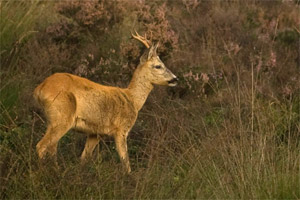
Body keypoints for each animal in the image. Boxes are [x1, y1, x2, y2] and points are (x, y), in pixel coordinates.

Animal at [33, 30, 178, 173]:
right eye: (158, 66)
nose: (175, 79)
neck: (132, 99)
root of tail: (40, 88)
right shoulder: (121, 129)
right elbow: (126, 162)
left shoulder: (95, 133)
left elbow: (83, 158)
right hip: (62, 117)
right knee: (41, 145)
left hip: (52, 120)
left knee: (52, 148)